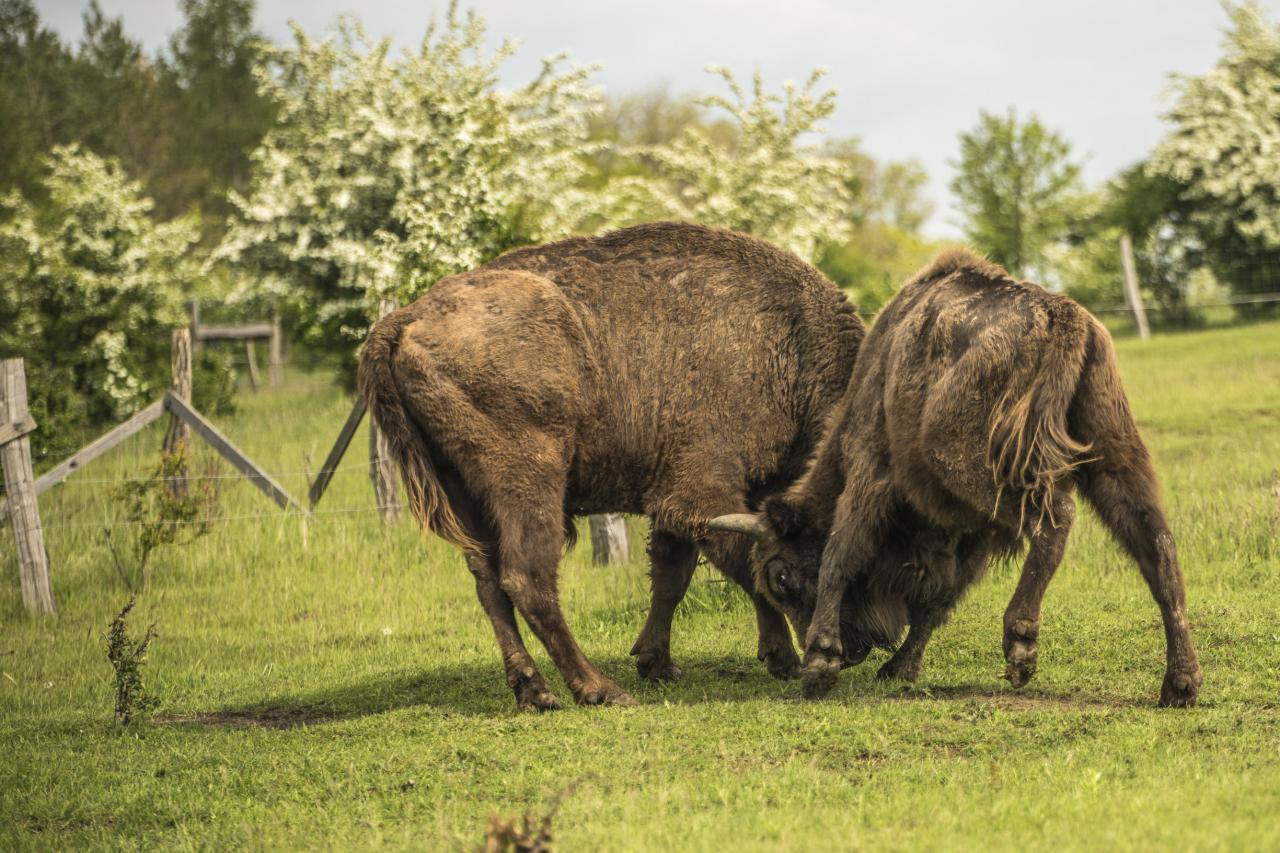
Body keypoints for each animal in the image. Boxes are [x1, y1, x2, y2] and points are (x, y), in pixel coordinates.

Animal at [359, 222, 864, 710]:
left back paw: (535, 691)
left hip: (464, 492)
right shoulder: (700, 492)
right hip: (530, 481)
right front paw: (783, 659)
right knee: (526, 578)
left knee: (488, 583)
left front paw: (657, 663)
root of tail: (403, 320)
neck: (788, 347)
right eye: (791, 576)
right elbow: (741, 564)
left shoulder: (682, 502)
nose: (849, 651)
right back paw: (598, 690)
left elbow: (673, 575)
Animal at [708, 249, 1202, 707]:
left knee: (1057, 515)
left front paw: (819, 663)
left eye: (781, 577)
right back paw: (1180, 684)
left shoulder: (871, 469)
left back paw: (1020, 644)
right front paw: (898, 668)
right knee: (1156, 544)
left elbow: (840, 554)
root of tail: (1064, 315)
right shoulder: (971, 531)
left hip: (965, 463)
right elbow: (942, 596)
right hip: (1114, 455)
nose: (852, 653)